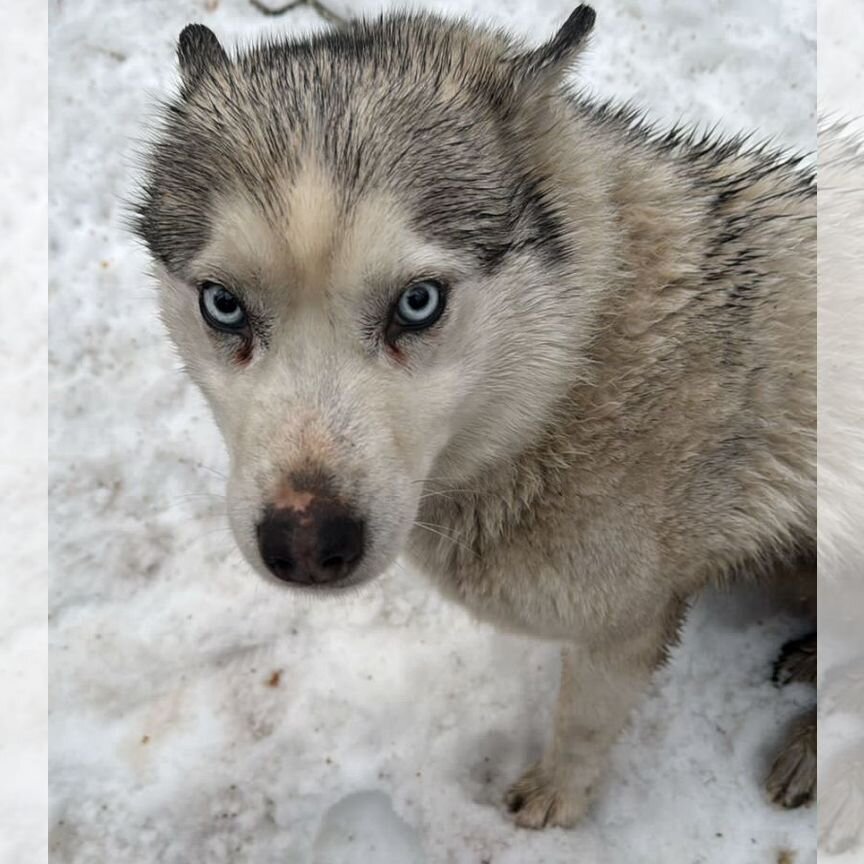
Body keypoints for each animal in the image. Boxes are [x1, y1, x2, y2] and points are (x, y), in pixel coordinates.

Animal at [135, 8, 816, 832]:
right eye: (223, 304)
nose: (304, 543)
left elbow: (583, 721)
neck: (570, 380)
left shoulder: (623, 621)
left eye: (418, 302)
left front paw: (558, 796)